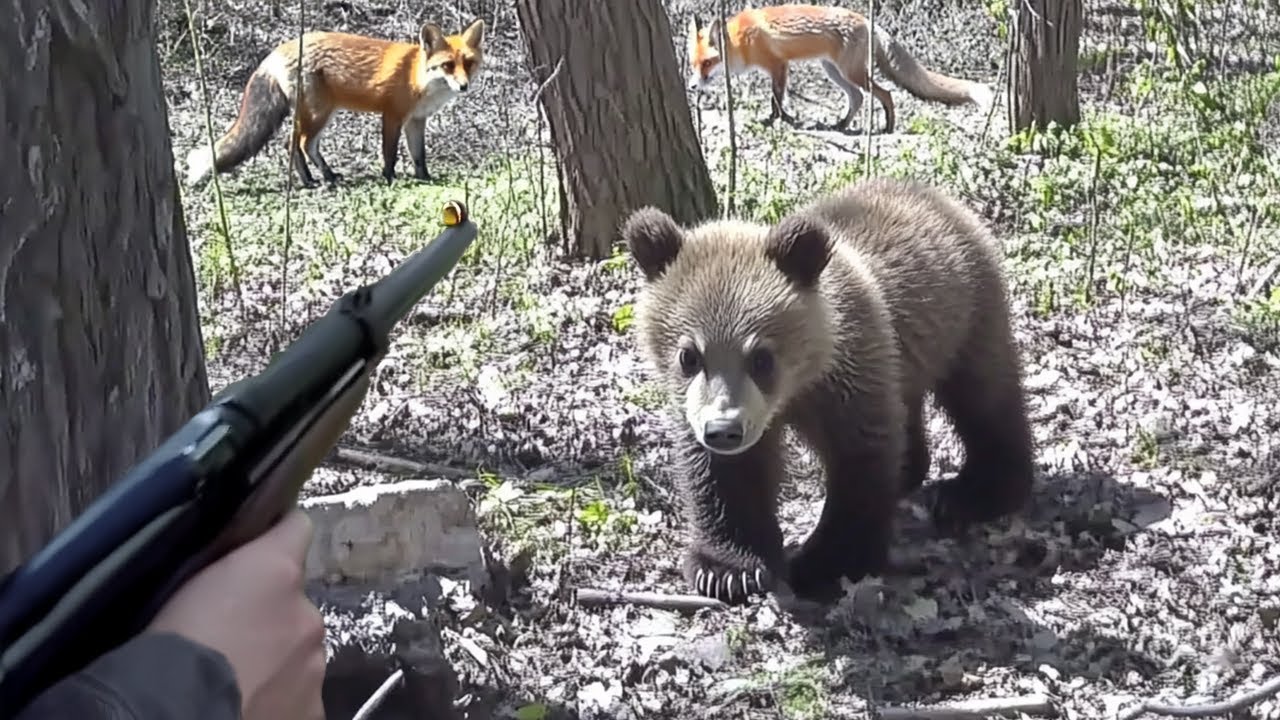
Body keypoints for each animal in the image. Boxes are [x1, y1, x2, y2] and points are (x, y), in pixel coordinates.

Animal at [185, 18, 485, 189]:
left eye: (468, 63)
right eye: (447, 66)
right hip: (319, 114)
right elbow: (389, 153)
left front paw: (424, 179)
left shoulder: (416, 120)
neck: (417, 77)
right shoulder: (392, 115)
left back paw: (324, 177)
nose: (463, 86)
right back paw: (311, 181)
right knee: (297, 144)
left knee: (302, 146)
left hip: (319, 114)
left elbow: (419, 155)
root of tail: (277, 50)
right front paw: (389, 179)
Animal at [619, 177, 1036, 604]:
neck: (799, 385)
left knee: (984, 397)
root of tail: (935, 195)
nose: (724, 429)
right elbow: (725, 475)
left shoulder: (849, 379)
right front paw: (727, 570)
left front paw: (822, 565)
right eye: (689, 355)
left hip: (967, 316)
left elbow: (860, 467)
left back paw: (972, 492)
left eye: (762, 357)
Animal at [685, 5, 993, 134]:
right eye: (693, 64)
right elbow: (777, 98)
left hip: (850, 73)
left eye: (708, 63)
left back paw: (888, 127)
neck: (742, 40)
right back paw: (842, 125)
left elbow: (776, 99)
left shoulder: (778, 66)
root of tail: (869, 22)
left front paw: (777, 119)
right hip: (834, 72)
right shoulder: (778, 69)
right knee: (857, 98)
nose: (691, 86)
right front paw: (781, 119)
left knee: (886, 94)